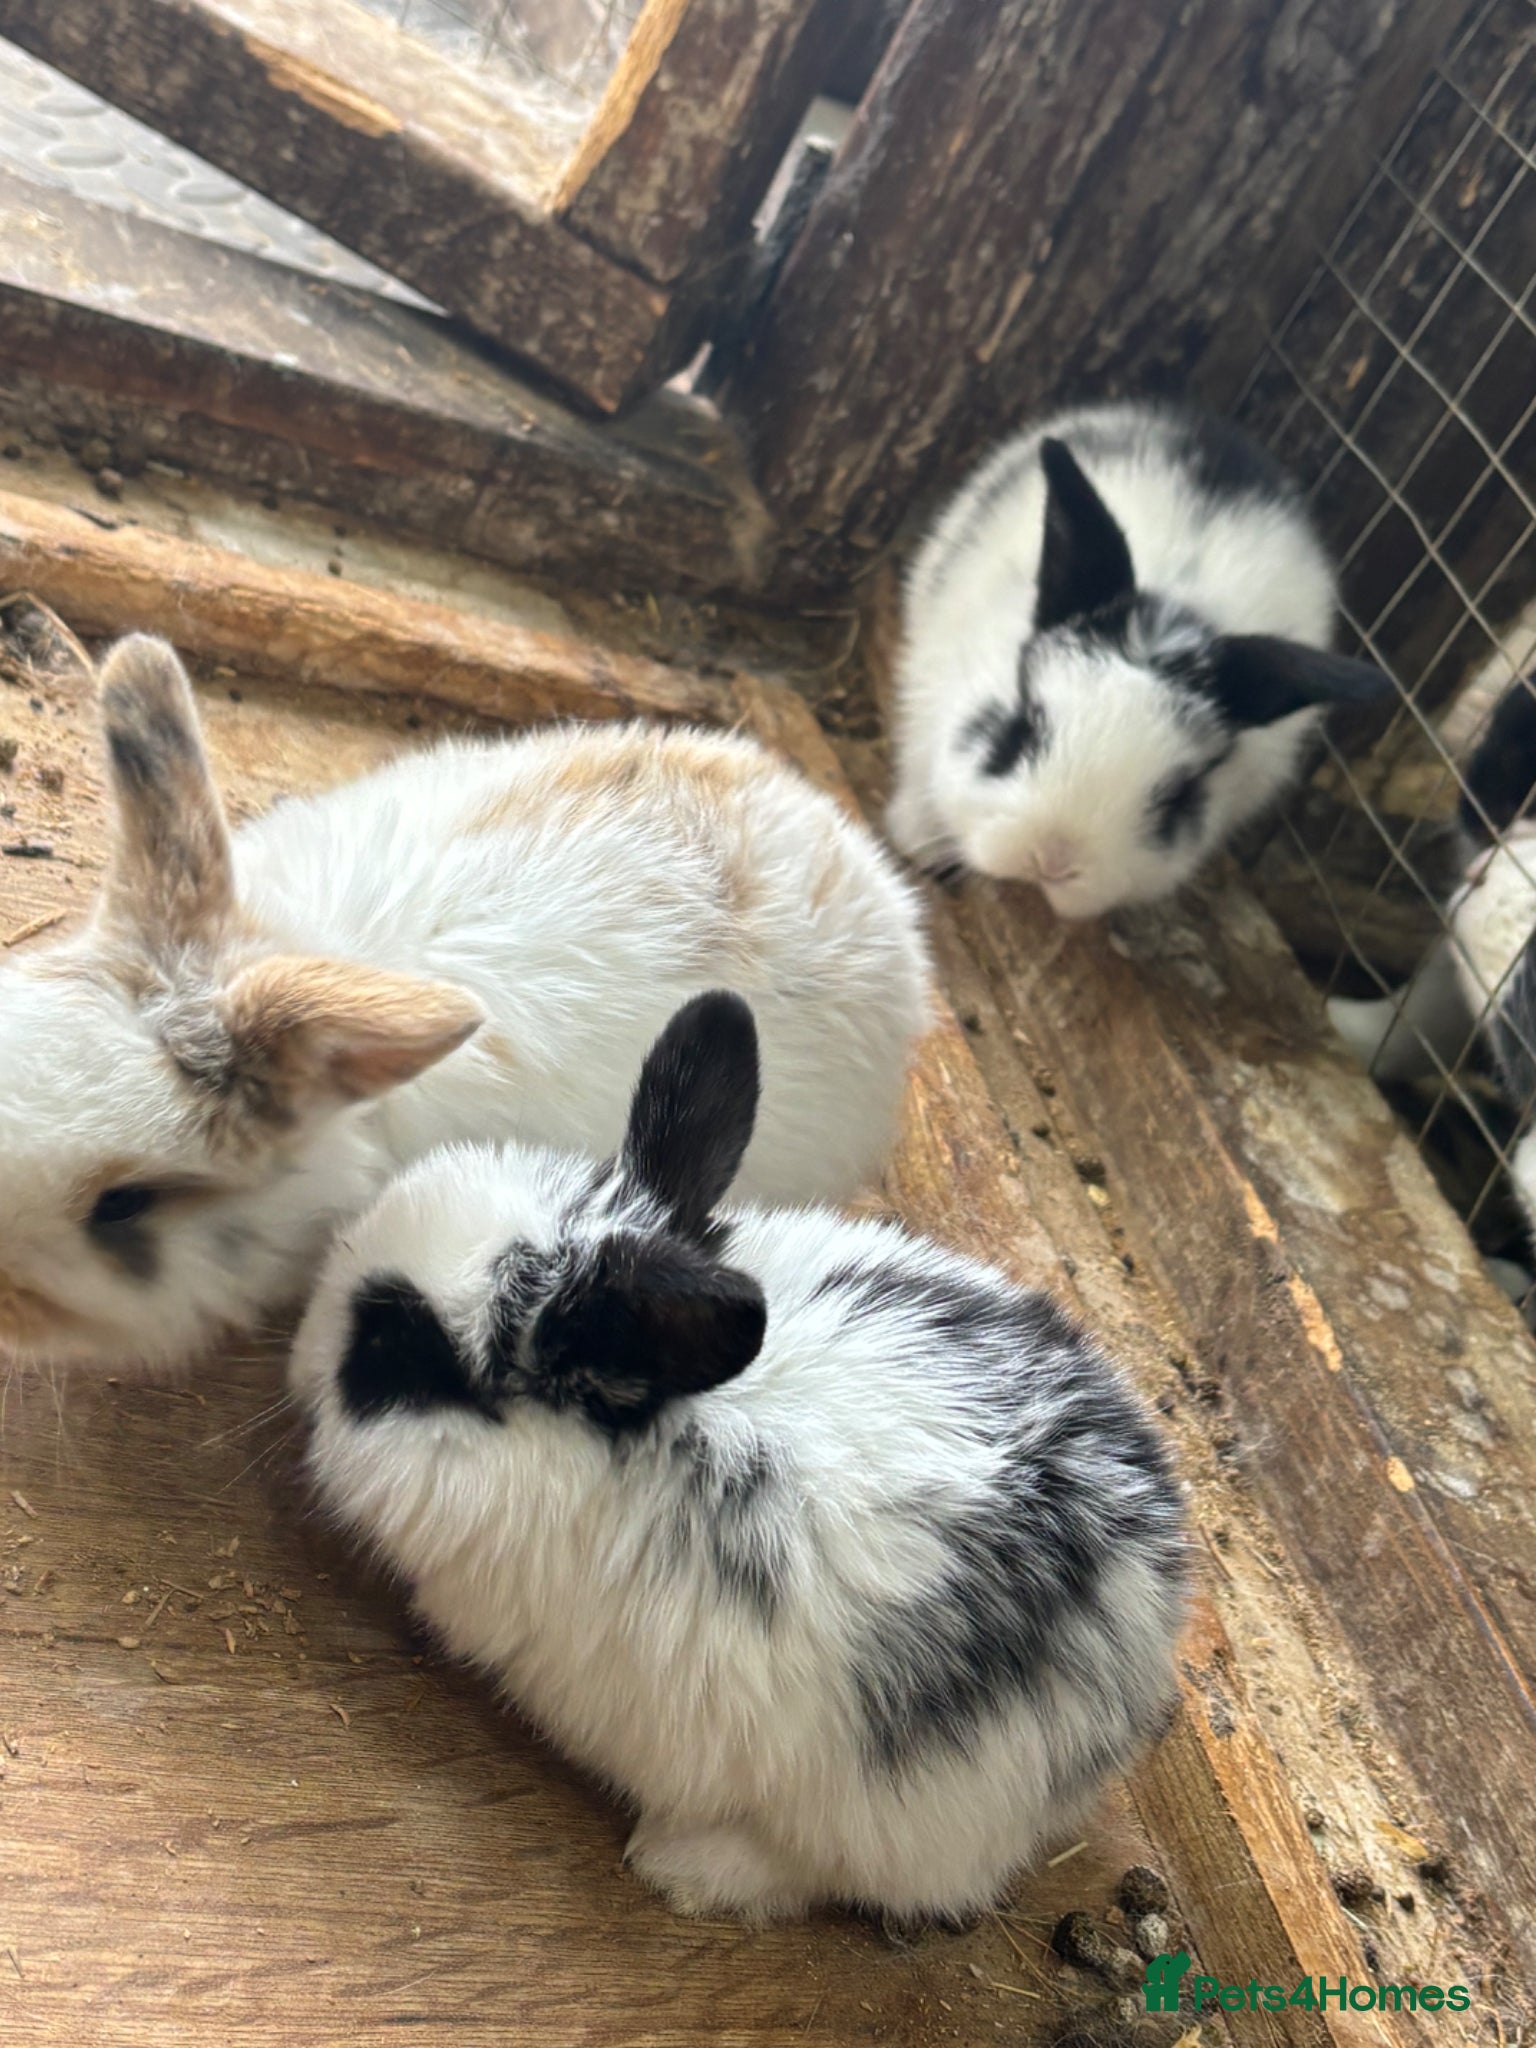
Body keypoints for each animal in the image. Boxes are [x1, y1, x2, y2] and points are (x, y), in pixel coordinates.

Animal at [290, 990, 1188, 1927]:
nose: (301, 1356)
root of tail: (1136, 1657)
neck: (658, 1435)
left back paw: (679, 1866)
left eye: (395, 1342)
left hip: (875, 1809)